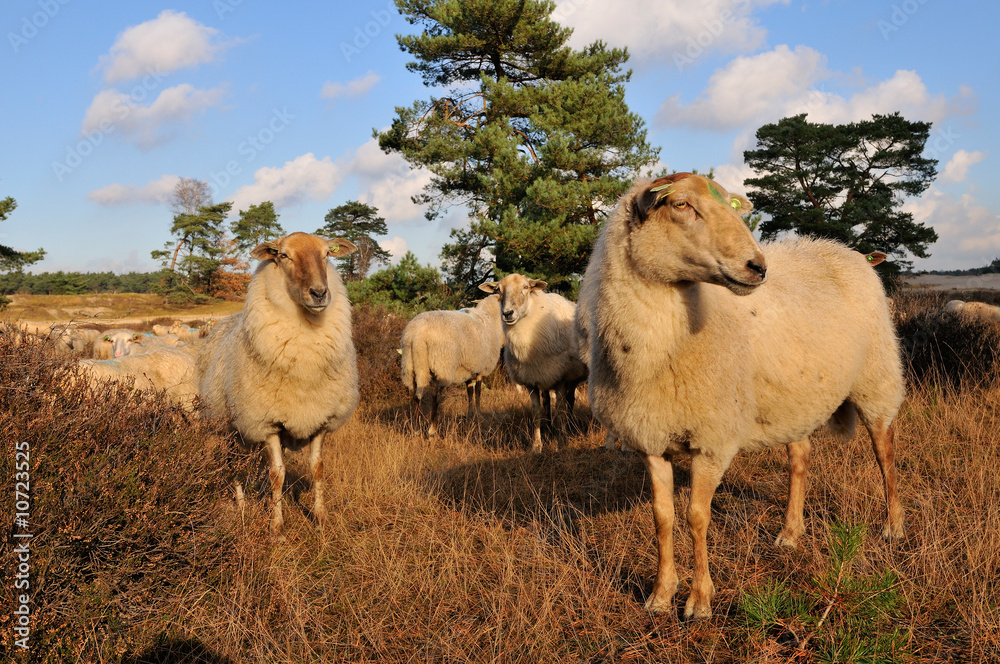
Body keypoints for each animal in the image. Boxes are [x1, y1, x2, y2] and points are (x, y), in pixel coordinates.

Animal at [197, 232, 359, 540]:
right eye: (283, 256)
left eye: (327, 254)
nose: (319, 293)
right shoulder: (266, 422)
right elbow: (277, 475)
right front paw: (277, 528)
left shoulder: (321, 418)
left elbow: (317, 469)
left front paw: (321, 519)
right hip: (229, 426)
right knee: (235, 465)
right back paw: (242, 506)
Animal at [400, 295, 504, 438]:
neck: (491, 317)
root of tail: (417, 335)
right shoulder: (481, 368)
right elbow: (478, 391)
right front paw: (479, 415)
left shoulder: (468, 369)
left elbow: (469, 392)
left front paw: (470, 414)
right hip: (442, 364)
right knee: (435, 397)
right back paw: (432, 430)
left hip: (412, 364)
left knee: (416, 395)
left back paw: (415, 429)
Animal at [479, 274, 588, 452]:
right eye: (498, 290)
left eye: (525, 287)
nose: (507, 313)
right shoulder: (531, 381)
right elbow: (537, 412)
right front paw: (537, 445)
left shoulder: (561, 379)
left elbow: (560, 412)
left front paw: (561, 443)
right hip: (544, 375)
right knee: (547, 402)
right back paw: (550, 429)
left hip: (570, 376)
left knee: (570, 401)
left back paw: (570, 426)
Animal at [579, 173, 905, 620]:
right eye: (680, 205)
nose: (758, 267)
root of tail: (843, 249)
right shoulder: (651, 438)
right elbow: (662, 518)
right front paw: (660, 596)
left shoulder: (712, 440)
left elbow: (697, 517)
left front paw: (699, 601)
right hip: (795, 400)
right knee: (800, 459)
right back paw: (790, 532)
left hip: (877, 378)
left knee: (885, 455)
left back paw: (893, 527)